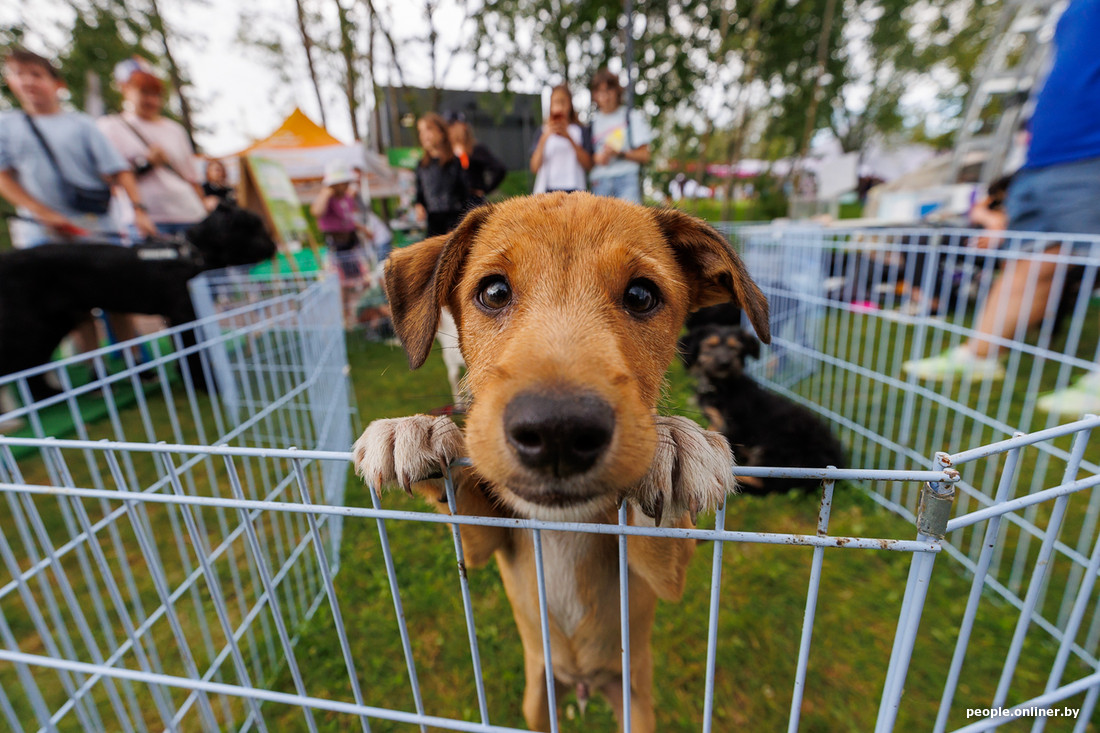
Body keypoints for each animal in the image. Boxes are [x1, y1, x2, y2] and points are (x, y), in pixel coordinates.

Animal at [0, 203, 277, 400]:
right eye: (252, 226)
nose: (273, 246)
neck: (193, 253)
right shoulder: (182, 316)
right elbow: (192, 353)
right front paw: (207, 385)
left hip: (54, 324)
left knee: (30, 369)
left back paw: (49, 395)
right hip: (30, 327)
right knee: (19, 367)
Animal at [353, 192, 770, 731]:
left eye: (641, 296)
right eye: (493, 292)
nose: (557, 433)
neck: (562, 522)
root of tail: (583, 684)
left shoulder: (663, 579)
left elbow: (662, 531)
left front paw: (676, 445)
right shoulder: (485, 543)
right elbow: (458, 491)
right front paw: (414, 429)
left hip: (637, 706)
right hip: (536, 701)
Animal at [680, 323, 845, 494]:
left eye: (736, 348)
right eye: (710, 345)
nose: (725, 362)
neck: (722, 386)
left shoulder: (730, 424)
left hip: (778, 447)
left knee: (765, 483)